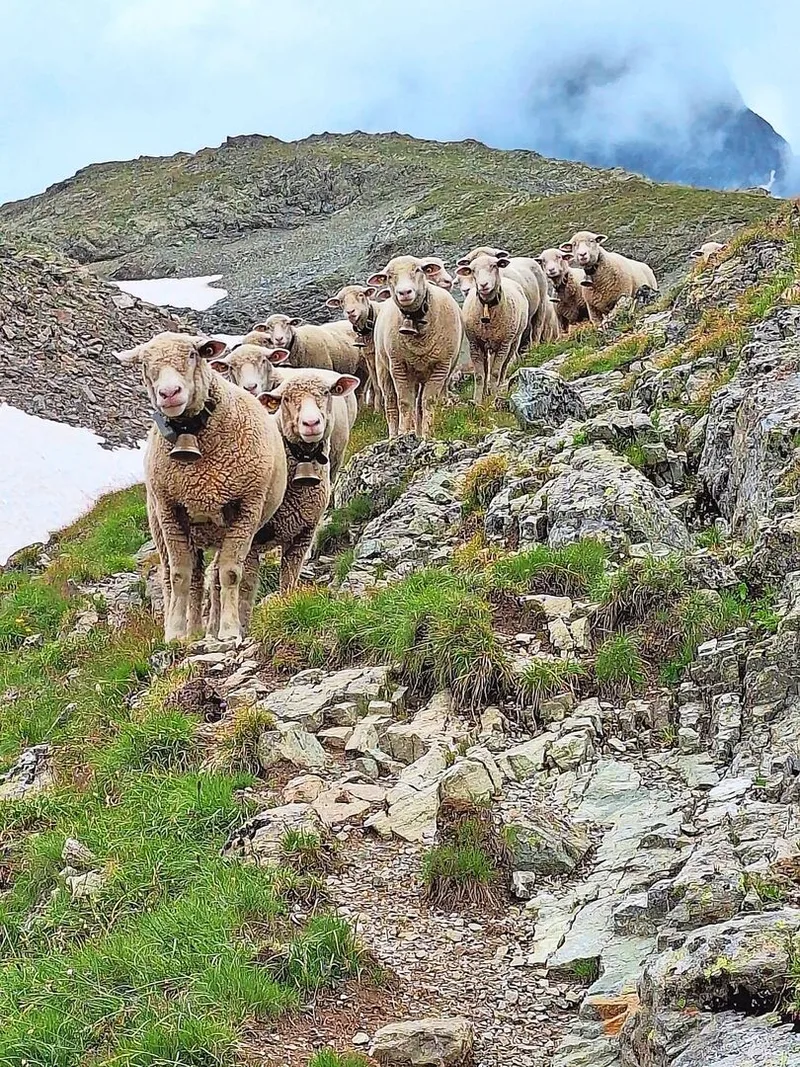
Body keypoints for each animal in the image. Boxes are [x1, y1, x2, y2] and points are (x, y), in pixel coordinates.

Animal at [115, 332, 287, 643]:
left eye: (193, 355)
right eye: (144, 364)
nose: (169, 393)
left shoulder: (246, 508)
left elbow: (229, 573)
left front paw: (229, 630)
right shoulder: (170, 510)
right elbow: (179, 575)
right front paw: (174, 633)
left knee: (213, 575)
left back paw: (207, 628)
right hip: (161, 525)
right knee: (183, 577)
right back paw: (191, 630)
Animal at [205, 371, 360, 636]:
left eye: (326, 392)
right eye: (286, 398)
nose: (311, 423)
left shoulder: (303, 535)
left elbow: (288, 579)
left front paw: (286, 606)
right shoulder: (252, 539)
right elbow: (246, 588)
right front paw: (241, 628)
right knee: (215, 575)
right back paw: (214, 629)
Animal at [366, 255, 463, 437]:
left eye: (418, 270)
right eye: (389, 276)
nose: (404, 292)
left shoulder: (441, 366)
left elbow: (428, 402)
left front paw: (426, 435)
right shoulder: (399, 366)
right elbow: (404, 402)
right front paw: (404, 432)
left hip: (420, 375)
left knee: (418, 405)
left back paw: (417, 432)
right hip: (383, 368)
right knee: (391, 403)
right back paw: (394, 435)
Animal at [456, 253, 529, 402]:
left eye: (494, 265)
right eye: (472, 270)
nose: (483, 285)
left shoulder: (502, 345)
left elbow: (495, 372)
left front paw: (494, 396)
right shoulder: (475, 344)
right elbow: (479, 375)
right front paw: (477, 401)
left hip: (513, 341)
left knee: (504, 367)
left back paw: (499, 387)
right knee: (486, 369)